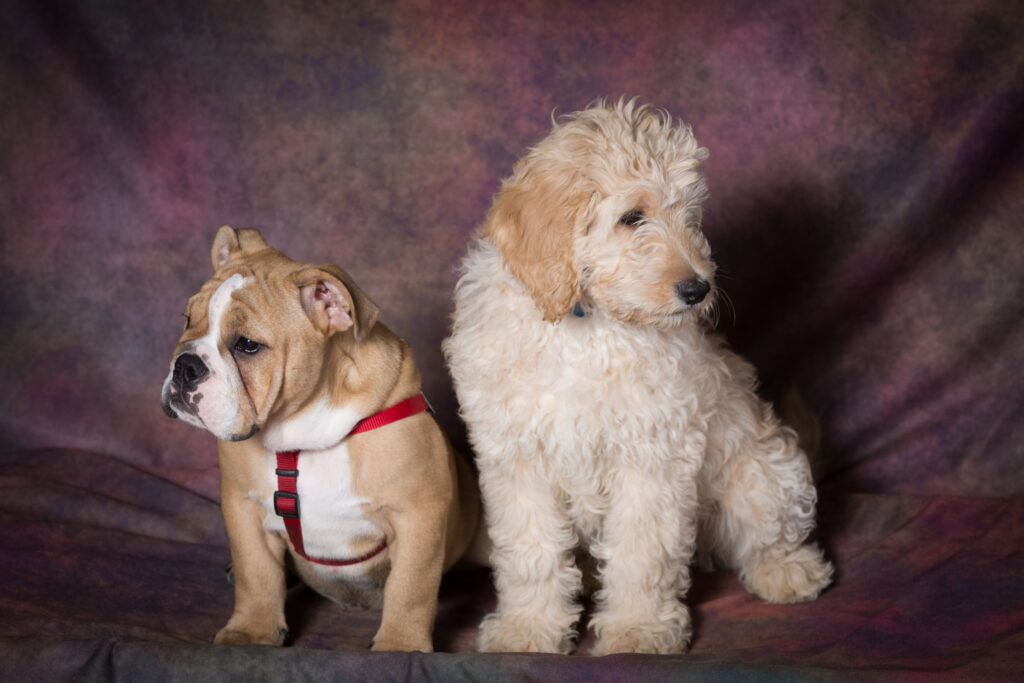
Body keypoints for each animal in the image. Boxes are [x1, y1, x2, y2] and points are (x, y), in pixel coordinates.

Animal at [160, 228, 483, 651]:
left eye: (247, 345)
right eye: (187, 320)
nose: (185, 365)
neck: (302, 435)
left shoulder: (419, 514)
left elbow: (411, 587)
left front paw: (400, 645)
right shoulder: (242, 507)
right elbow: (255, 574)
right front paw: (251, 632)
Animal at [442, 101, 831, 655]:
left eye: (690, 216)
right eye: (632, 217)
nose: (698, 289)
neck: (585, 322)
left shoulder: (651, 456)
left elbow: (641, 553)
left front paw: (636, 629)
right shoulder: (516, 458)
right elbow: (531, 552)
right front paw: (528, 628)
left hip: (760, 473)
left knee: (771, 532)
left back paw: (788, 571)